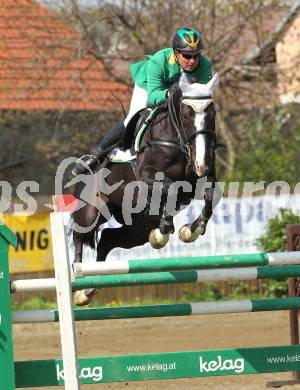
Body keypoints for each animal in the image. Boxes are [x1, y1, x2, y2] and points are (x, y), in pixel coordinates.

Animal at [69, 72, 221, 304]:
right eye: (186, 116)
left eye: (212, 114)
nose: (201, 164)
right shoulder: (147, 177)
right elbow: (171, 189)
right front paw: (165, 230)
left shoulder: (198, 181)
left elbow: (212, 194)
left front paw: (190, 230)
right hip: (91, 210)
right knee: (80, 235)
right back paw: (79, 286)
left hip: (137, 228)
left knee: (107, 240)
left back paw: (90, 288)